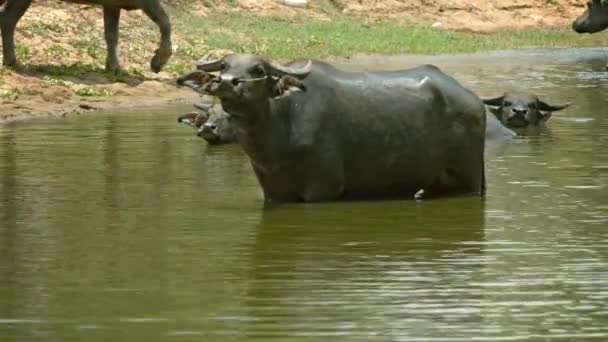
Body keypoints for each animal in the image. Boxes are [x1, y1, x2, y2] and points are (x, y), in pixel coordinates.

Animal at [0, 0, 171, 72]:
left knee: (6, 19)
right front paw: (158, 62)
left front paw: (114, 67)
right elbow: (165, 22)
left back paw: (11, 62)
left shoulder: (112, 5)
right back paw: (13, 62)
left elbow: (111, 35)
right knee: (8, 18)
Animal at [175, 53, 484, 203]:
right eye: (224, 66)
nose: (227, 82)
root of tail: (474, 101)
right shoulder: (274, 194)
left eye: (258, 70)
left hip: (469, 180)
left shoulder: (322, 190)